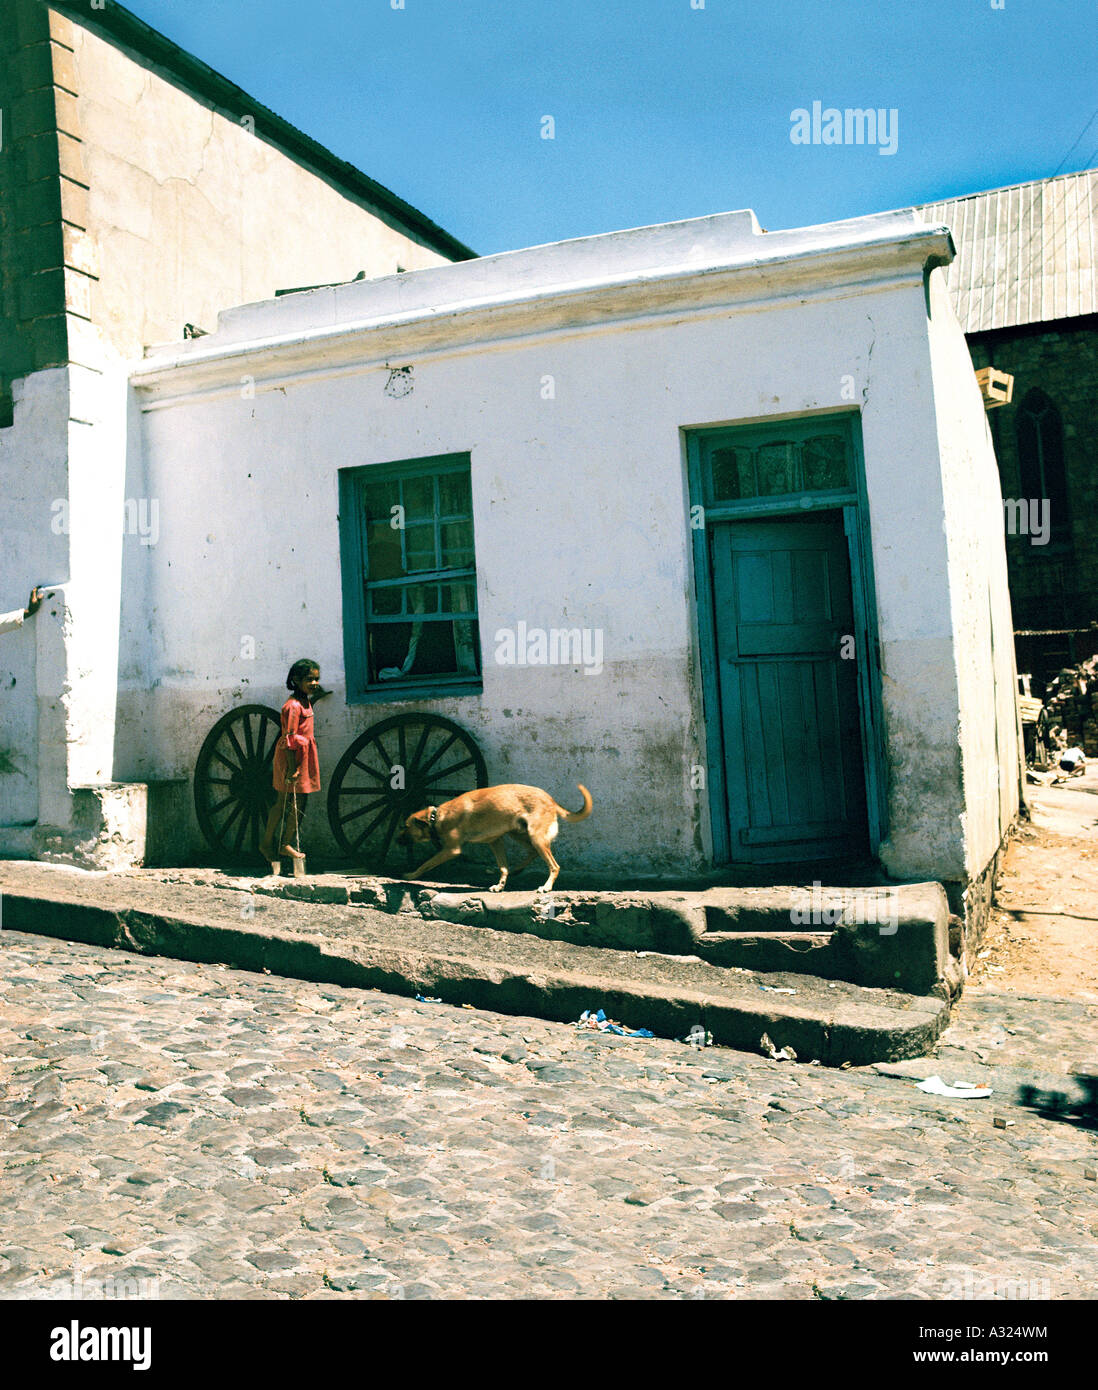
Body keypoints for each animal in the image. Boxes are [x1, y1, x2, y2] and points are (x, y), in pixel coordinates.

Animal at [403, 783, 592, 889]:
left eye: (405, 827)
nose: (398, 841)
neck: (436, 817)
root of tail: (551, 800)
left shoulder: (451, 850)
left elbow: (426, 864)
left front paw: (411, 875)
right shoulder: (495, 841)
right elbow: (503, 867)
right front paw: (500, 885)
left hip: (536, 837)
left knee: (554, 866)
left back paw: (546, 887)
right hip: (519, 834)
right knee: (531, 853)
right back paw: (516, 870)